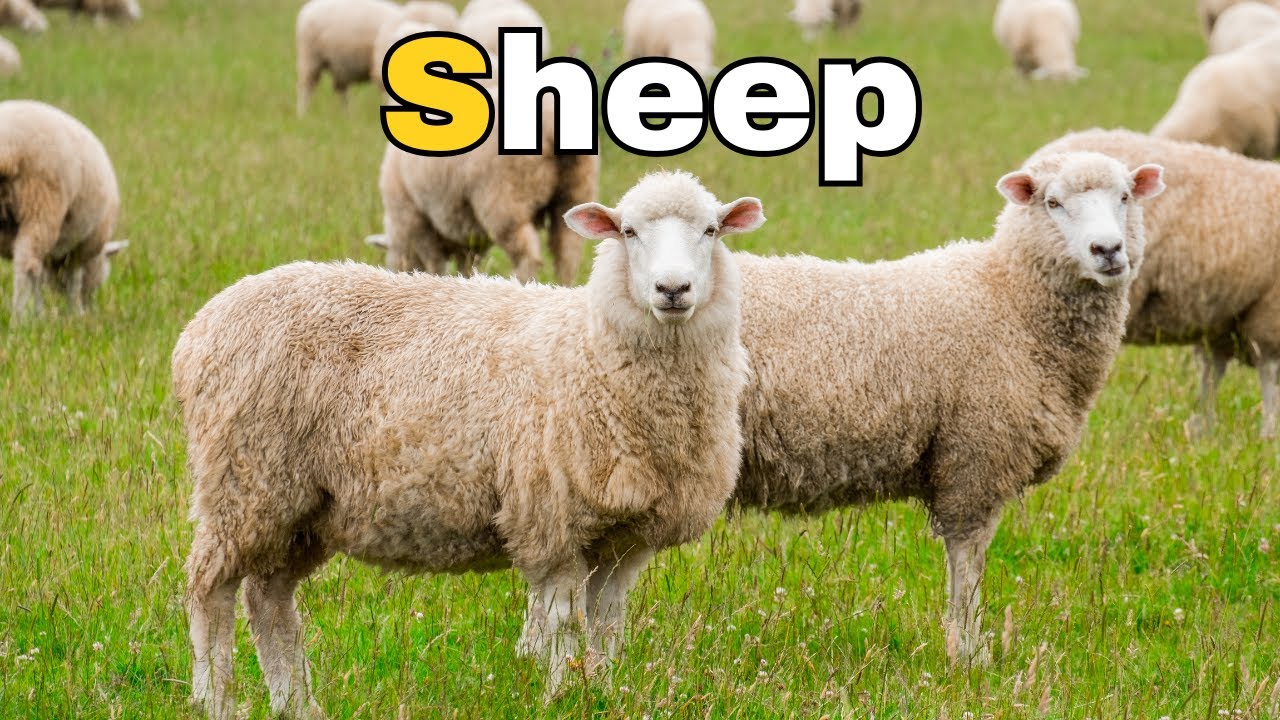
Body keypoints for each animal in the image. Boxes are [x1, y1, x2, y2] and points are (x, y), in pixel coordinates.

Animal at [0, 100, 129, 321]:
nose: (91, 306)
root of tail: (8, 145)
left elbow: (40, 279)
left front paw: (41, 313)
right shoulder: (81, 247)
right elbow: (73, 279)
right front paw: (75, 313)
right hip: (43, 204)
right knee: (26, 263)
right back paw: (19, 318)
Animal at [176, 170, 764, 719]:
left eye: (710, 230)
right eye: (628, 232)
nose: (673, 290)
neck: (592, 348)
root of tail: (201, 325)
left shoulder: (624, 540)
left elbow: (605, 629)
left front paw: (600, 691)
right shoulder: (549, 521)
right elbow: (563, 627)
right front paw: (562, 696)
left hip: (302, 507)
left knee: (268, 599)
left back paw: (296, 704)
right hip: (245, 481)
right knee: (209, 590)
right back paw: (214, 699)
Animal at [368, 84, 599, 285]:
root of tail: (551, 119)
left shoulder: (416, 220)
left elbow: (436, 264)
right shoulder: (468, 239)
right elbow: (466, 267)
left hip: (505, 197)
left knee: (529, 257)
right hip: (575, 190)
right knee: (567, 255)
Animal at [732, 152, 1165, 663]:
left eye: (1125, 196)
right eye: (1052, 202)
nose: (1108, 250)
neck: (1009, 299)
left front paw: (966, 646)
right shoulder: (975, 457)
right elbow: (968, 562)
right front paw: (968, 653)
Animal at [1032, 128, 1280, 439]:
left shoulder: (1222, 321)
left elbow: (1212, 375)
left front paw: (1203, 430)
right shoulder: (1269, 314)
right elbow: (1269, 377)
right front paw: (1269, 434)